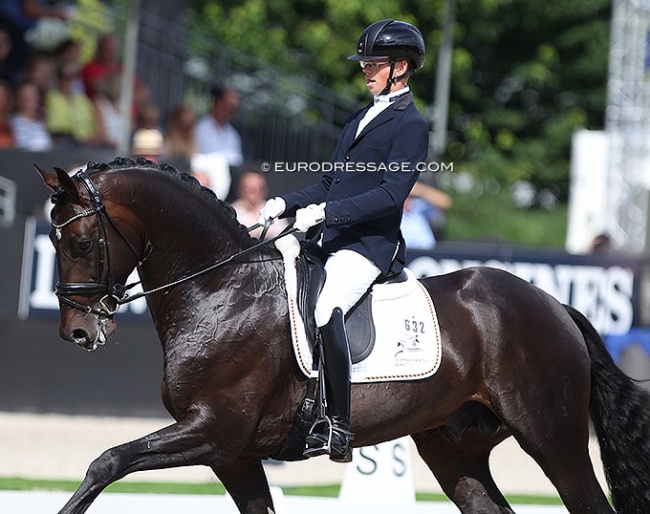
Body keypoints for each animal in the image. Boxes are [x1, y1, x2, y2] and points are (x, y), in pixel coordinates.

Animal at [36, 157, 650, 512]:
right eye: (52, 241)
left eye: (82, 243)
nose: (77, 331)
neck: (219, 288)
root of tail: (554, 305)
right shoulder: (233, 457)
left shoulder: (213, 432)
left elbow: (107, 462)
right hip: (456, 450)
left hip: (552, 438)